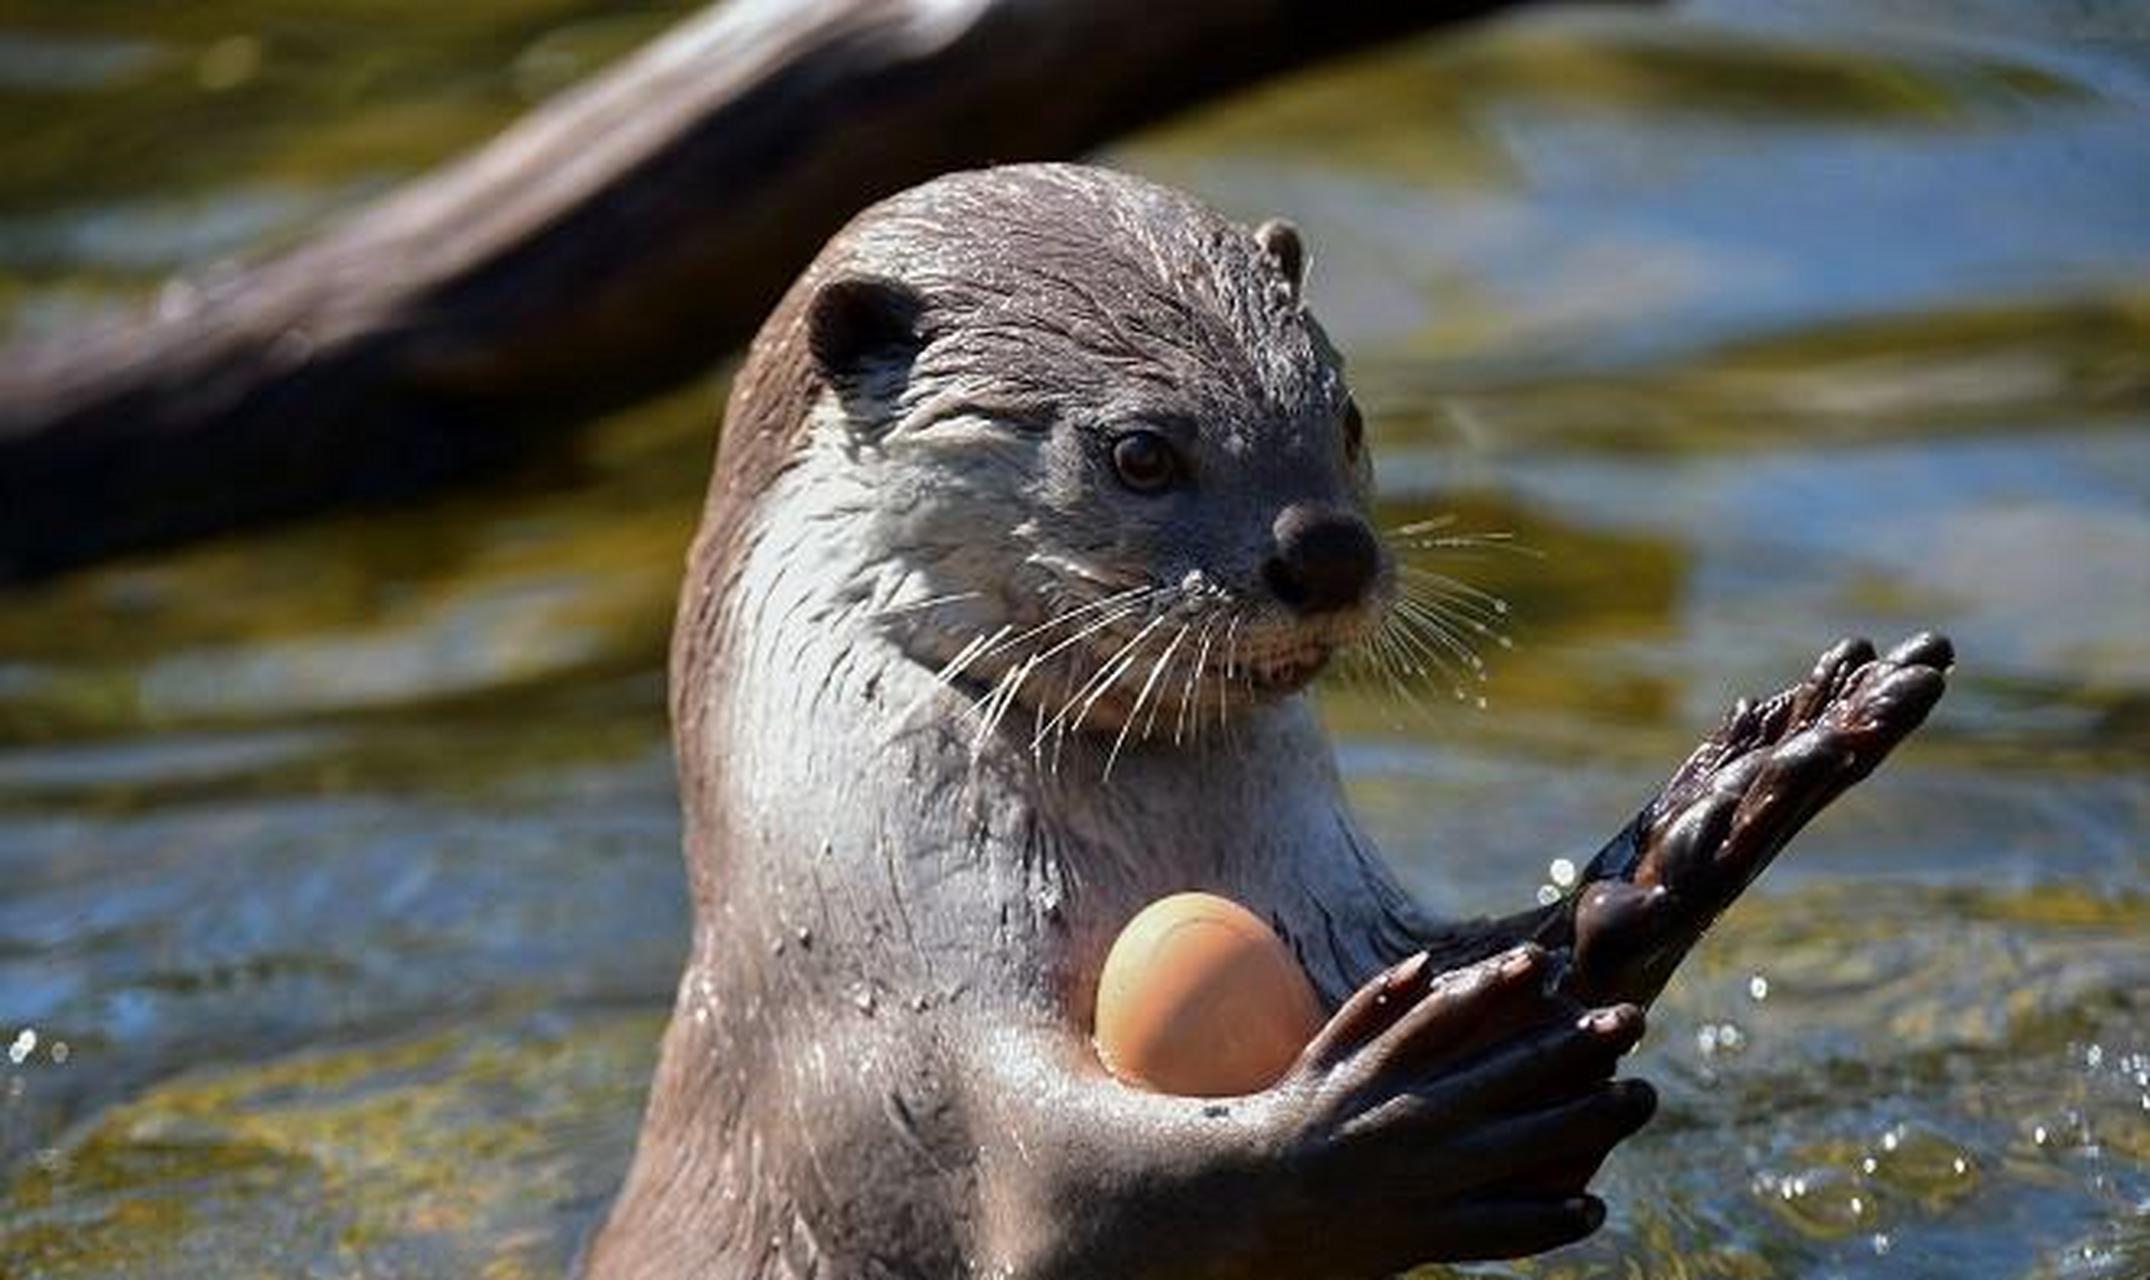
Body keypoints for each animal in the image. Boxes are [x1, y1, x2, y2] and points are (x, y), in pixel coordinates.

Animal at [589, 165, 1952, 1273]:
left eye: (1343, 418)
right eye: (1139, 451)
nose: (1328, 550)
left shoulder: (1338, 907)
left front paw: (1698, 823)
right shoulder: (892, 1036)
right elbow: (1085, 1190)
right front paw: (1388, 1123)